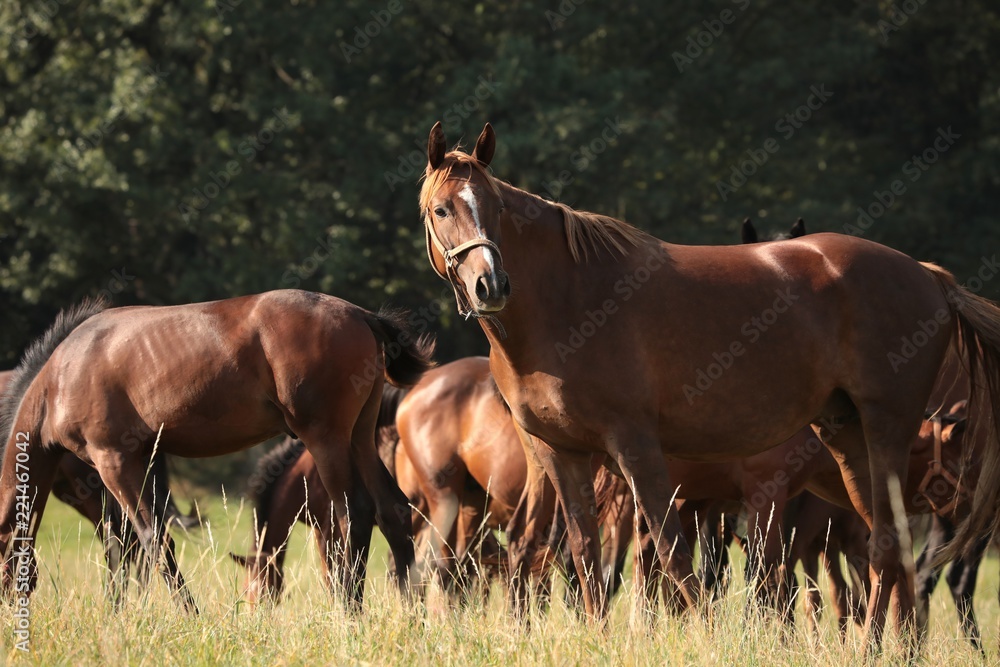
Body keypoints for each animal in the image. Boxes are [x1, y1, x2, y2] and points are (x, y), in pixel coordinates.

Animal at [0, 291, 433, 613]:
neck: (62, 375)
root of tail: (361, 315)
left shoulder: (115, 463)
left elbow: (152, 540)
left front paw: (187, 615)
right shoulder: (136, 464)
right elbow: (127, 544)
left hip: (327, 441)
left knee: (353, 513)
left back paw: (350, 611)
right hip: (359, 438)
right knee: (391, 511)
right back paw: (413, 615)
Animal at [417, 121, 1000, 650]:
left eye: (496, 208)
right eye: (441, 209)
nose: (490, 285)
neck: (568, 300)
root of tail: (930, 276)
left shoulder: (637, 447)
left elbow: (677, 556)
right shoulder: (561, 452)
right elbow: (585, 553)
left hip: (886, 430)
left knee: (883, 547)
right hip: (846, 435)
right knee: (886, 546)